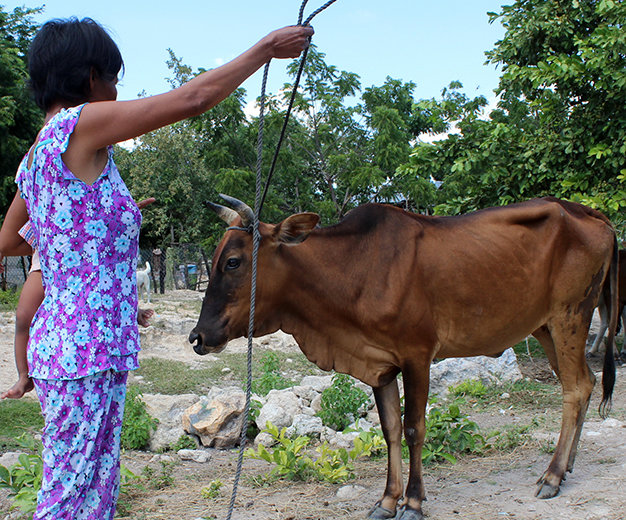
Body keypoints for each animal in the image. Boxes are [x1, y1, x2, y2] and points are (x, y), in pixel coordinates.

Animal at [189, 196, 616, 520]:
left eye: (233, 262)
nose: (198, 337)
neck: (354, 270)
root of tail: (593, 215)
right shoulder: (381, 366)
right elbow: (390, 429)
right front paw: (387, 500)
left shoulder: (417, 356)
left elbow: (413, 429)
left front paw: (412, 501)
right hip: (546, 328)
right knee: (584, 384)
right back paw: (568, 466)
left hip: (570, 317)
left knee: (575, 390)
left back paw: (553, 476)